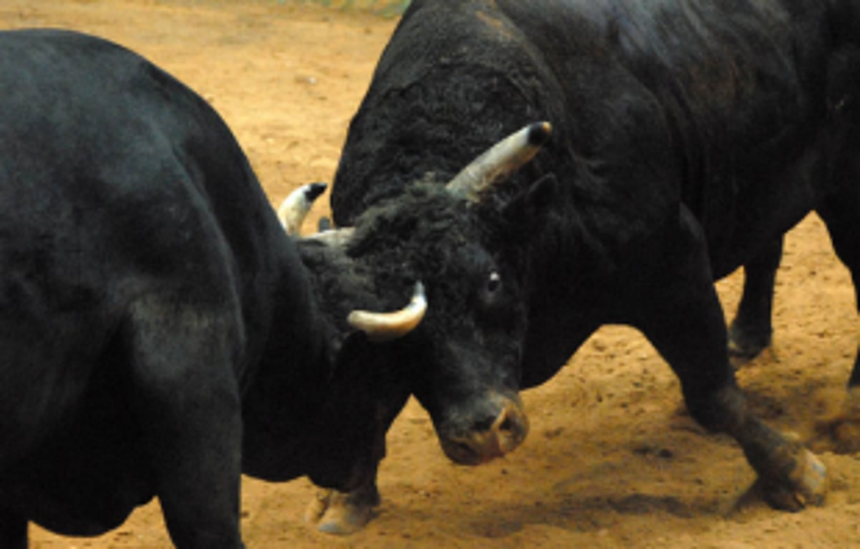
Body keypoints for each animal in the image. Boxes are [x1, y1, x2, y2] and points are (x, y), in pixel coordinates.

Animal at [308, 0, 860, 533]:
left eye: (491, 280)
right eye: (397, 336)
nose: (483, 434)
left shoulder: (672, 262)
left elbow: (713, 394)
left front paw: (795, 471)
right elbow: (369, 413)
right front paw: (346, 500)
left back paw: (850, 416)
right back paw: (745, 338)